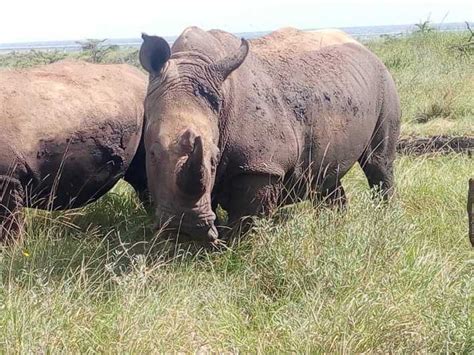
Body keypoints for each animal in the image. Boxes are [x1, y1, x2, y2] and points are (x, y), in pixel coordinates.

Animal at [140, 27, 400, 245]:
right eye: (151, 154)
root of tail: (368, 50)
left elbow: (247, 218)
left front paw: (234, 251)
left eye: (214, 158)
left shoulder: (261, 166)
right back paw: (334, 227)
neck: (192, 62)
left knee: (378, 162)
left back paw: (383, 218)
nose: (184, 228)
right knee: (326, 175)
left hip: (385, 83)